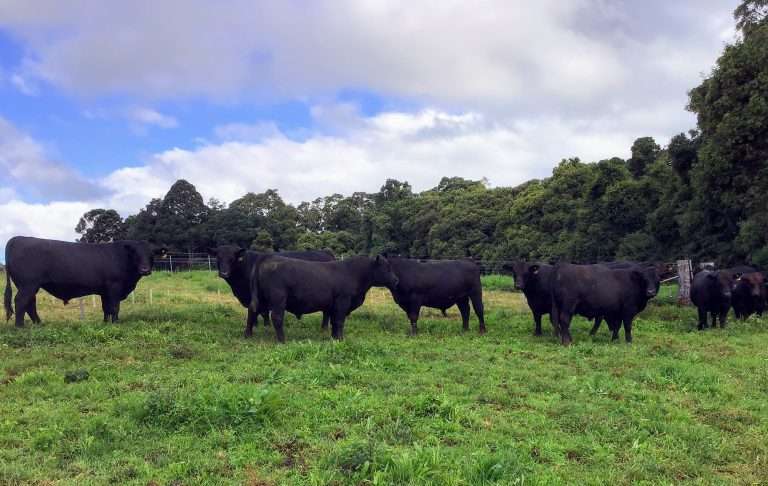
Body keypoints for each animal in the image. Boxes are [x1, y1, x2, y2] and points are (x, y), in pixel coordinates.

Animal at [4, 236, 163, 326]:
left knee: (30, 304)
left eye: (152, 253)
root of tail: (16, 238)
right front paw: (116, 324)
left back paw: (38, 324)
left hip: (30, 286)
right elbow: (114, 307)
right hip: (28, 285)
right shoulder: (114, 287)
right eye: (135, 253)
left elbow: (106, 308)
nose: (145, 269)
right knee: (21, 302)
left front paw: (106, 323)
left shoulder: (105, 291)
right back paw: (20, 326)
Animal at [250, 255, 398, 342]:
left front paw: (334, 337)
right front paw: (340, 339)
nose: (396, 280)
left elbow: (333, 322)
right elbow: (339, 321)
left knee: (252, 312)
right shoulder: (343, 301)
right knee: (276, 317)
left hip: (261, 298)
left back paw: (248, 335)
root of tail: (268, 258)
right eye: (387, 268)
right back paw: (282, 340)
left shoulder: (333, 306)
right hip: (278, 299)